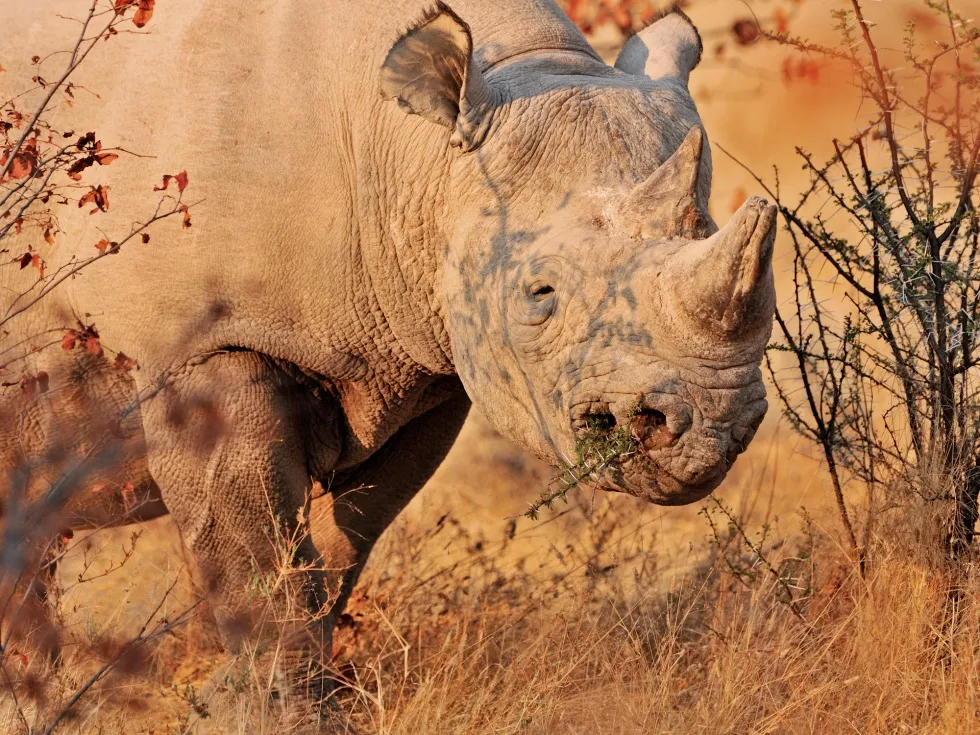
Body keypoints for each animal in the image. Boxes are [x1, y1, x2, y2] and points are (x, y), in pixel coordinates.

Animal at [0, 0, 776, 706]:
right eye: (540, 294)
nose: (709, 432)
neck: (417, 154)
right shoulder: (200, 345)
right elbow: (258, 552)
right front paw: (275, 710)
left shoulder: (426, 365)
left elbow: (345, 539)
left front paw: (247, 692)